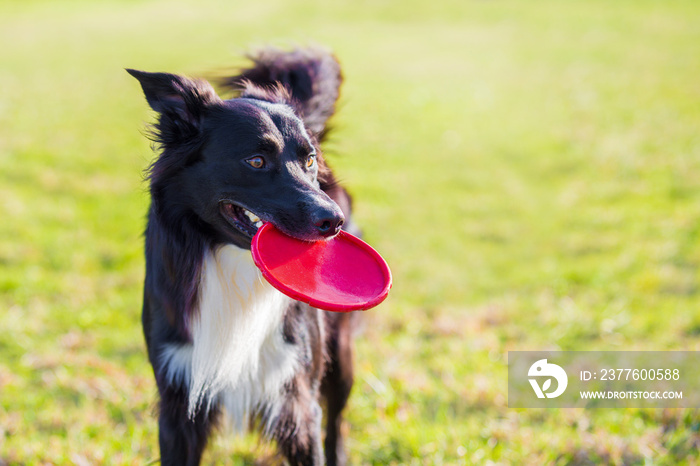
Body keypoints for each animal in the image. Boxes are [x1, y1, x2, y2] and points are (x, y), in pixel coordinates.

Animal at [127, 48, 356, 466]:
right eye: (256, 161)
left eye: (309, 160)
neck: (233, 264)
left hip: (340, 355)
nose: (334, 221)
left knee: (337, 423)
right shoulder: (178, 397)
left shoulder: (298, 400)